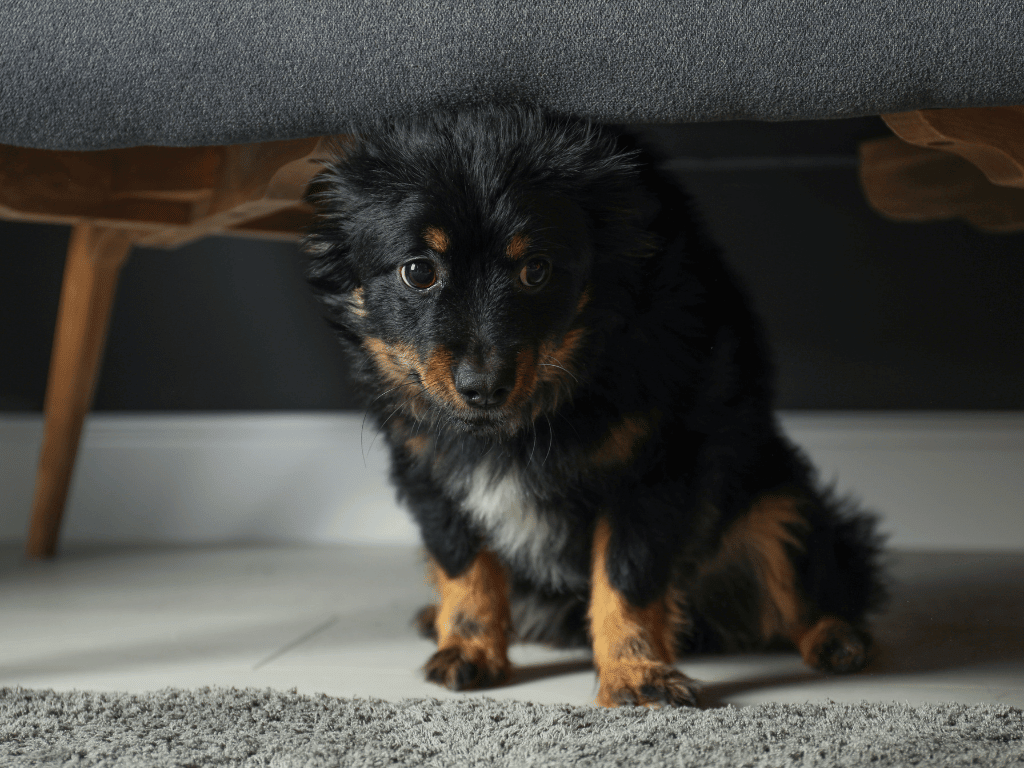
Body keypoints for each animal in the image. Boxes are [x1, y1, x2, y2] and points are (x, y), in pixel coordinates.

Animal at [299, 103, 884, 708]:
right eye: (418, 270)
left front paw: (635, 674)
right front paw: (469, 648)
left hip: (779, 499)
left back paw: (837, 639)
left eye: (536, 269)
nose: (483, 386)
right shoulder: (427, 470)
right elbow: (465, 565)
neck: (525, 420)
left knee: (811, 584)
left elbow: (626, 578)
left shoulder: (655, 469)